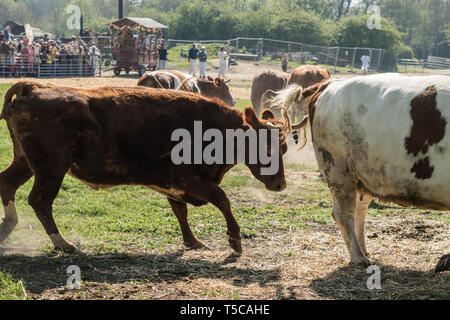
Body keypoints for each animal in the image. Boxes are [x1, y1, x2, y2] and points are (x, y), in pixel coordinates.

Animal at [0, 81, 288, 254]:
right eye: (267, 148)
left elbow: (180, 211)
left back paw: (7, 228)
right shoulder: (190, 180)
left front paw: (192, 241)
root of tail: (33, 87)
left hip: (25, 163)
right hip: (51, 169)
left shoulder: (174, 186)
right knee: (40, 201)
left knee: (7, 183)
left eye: (283, 148)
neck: (213, 129)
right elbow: (223, 200)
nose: (280, 184)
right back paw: (63, 243)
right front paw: (235, 240)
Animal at [278, 74, 450, 272]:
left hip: (364, 173)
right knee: (344, 214)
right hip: (337, 167)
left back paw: (363, 248)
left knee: (359, 210)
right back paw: (358, 256)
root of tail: (330, 83)